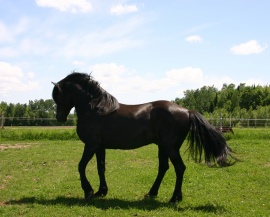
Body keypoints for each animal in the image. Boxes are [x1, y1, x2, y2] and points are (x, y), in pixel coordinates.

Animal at [52, 72, 232, 203]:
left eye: (58, 96)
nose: (60, 118)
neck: (96, 110)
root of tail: (187, 111)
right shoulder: (99, 146)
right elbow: (100, 168)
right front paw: (100, 192)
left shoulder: (91, 145)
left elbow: (81, 166)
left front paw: (88, 191)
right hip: (163, 147)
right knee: (163, 168)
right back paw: (152, 193)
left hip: (170, 147)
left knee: (179, 168)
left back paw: (174, 198)